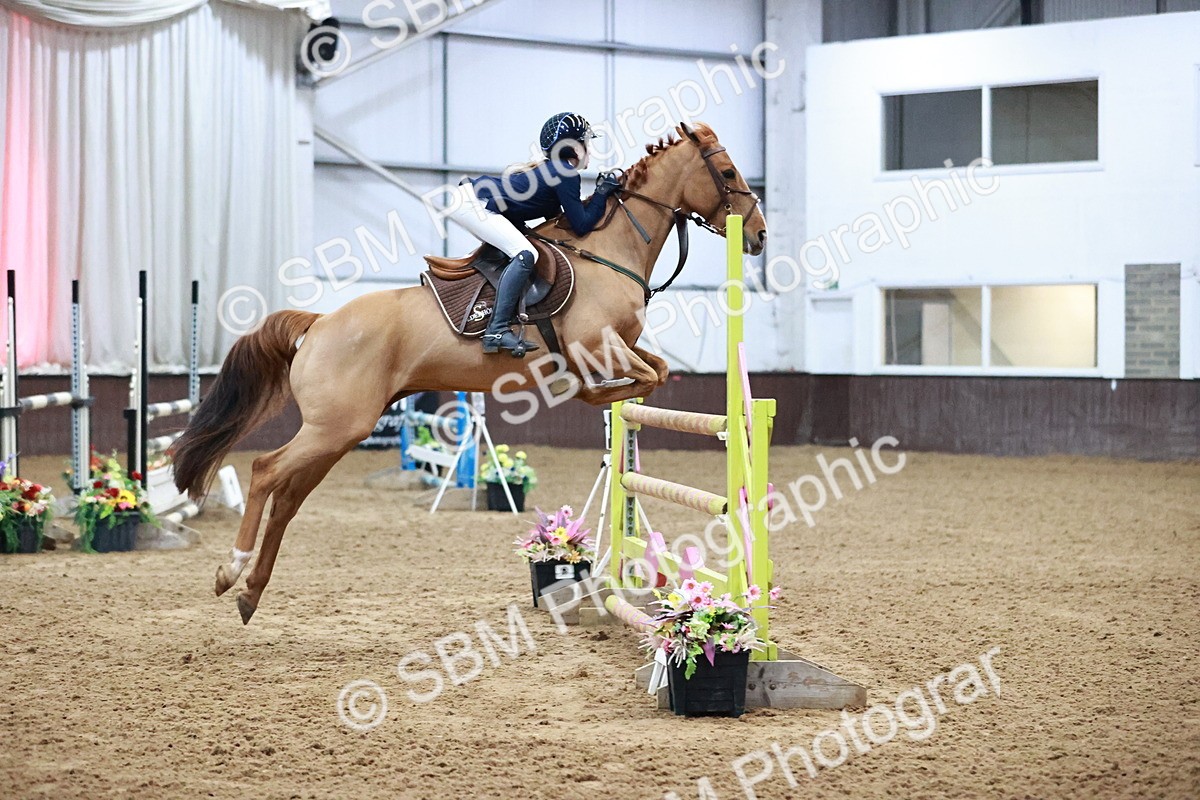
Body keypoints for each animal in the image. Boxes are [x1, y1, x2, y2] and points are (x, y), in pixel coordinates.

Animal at [172, 121, 768, 624]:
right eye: (729, 173)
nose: (758, 235)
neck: (608, 249)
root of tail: (319, 324)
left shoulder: (620, 348)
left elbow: (657, 373)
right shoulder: (599, 346)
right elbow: (642, 378)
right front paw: (586, 393)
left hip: (338, 432)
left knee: (288, 500)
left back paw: (250, 593)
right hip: (334, 427)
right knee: (265, 471)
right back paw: (231, 571)